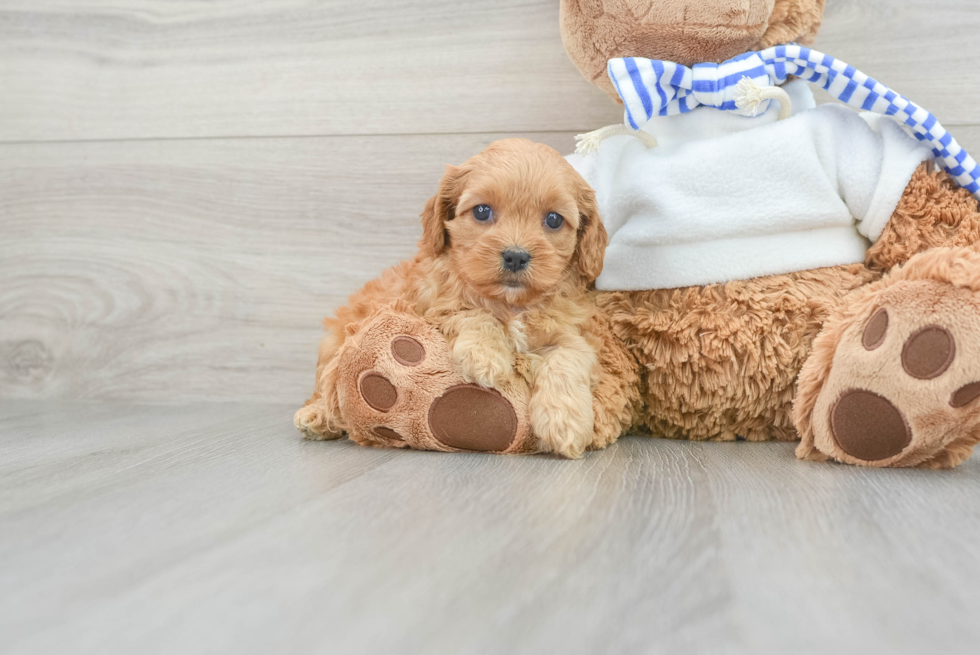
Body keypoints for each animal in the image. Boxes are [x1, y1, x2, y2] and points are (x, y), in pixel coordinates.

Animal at [294, 137, 608, 456]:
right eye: (482, 211)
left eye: (554, 219)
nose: (516, 256)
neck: (510, 304)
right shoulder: (432, 306)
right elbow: (469, 311)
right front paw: (485, 355)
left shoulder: (569, 331)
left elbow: (568, 357)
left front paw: (566, 424)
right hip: (334, 346)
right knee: (327, 389)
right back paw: (316, 417)